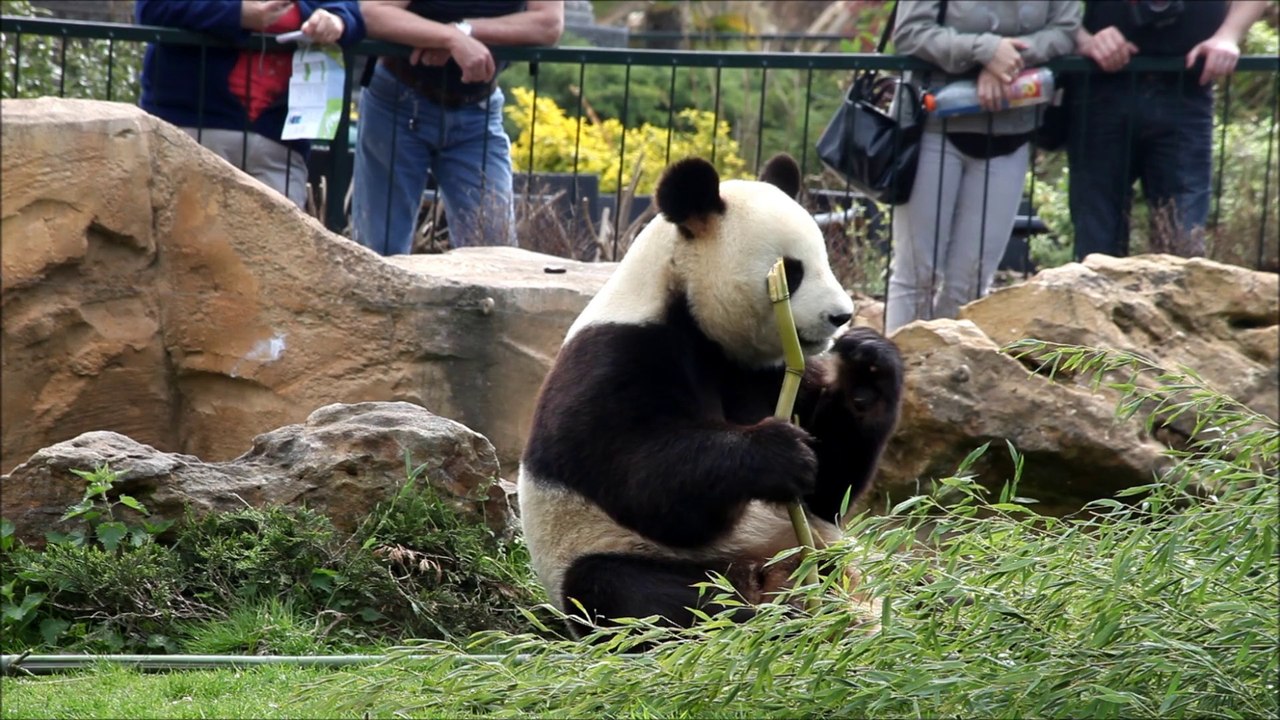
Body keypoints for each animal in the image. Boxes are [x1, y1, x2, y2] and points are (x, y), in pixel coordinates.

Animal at [517, 152, 903, 635]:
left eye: (826, 260)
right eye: (793, 270)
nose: (841, 316)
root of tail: (763, 575)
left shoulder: (770, 373)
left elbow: (830, 488)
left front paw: (868, 364)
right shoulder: (616, 355)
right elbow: (638, 475)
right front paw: (776, 453)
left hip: (826, 552)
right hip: (611, 549)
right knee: (627, 592)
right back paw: (759, 619)